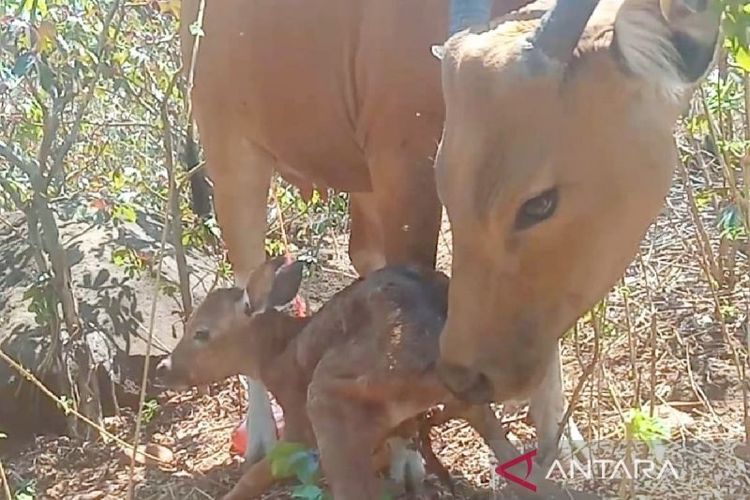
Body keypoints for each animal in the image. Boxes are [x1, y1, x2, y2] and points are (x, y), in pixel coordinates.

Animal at [158, 258, 524, 500]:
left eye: (201, 333)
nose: (164, 368)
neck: (277, 353)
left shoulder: (299, 422)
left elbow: (258, 473)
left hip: (330, 398)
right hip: (468, 403)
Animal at [179, 0, 536, 480]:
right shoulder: (408, 164)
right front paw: (406, 452)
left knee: (363, 255)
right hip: (232, 151)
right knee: (246, 275)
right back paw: (262, 434)